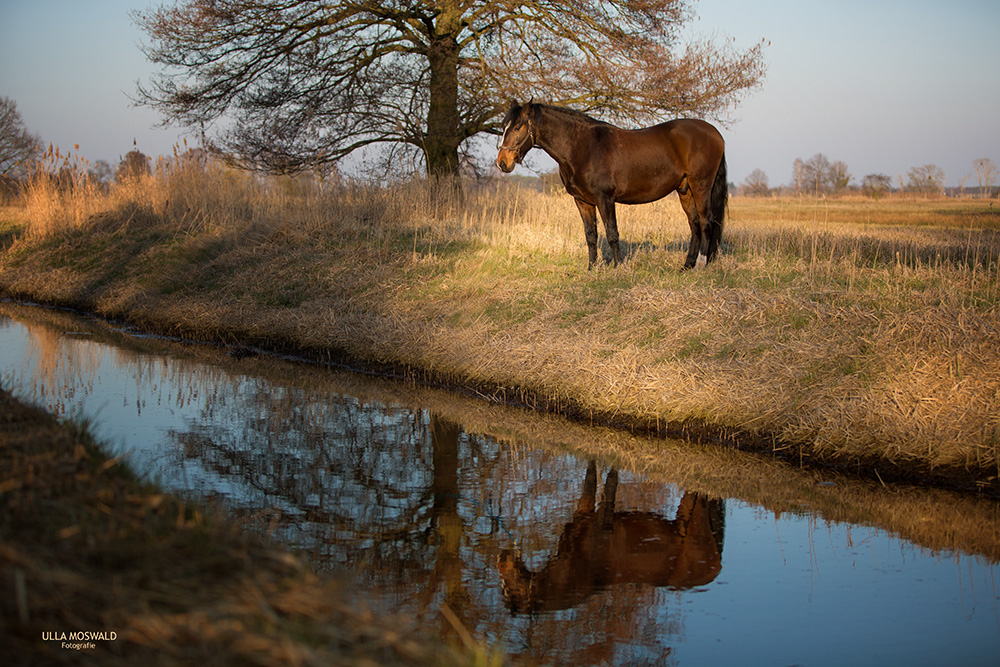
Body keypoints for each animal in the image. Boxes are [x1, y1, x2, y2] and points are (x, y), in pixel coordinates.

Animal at [498, 98, 728, 268]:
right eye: (504, 127)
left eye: (517, 127)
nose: (502, 162)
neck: (583, 146)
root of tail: (715, 133)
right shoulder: (583, 201)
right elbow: (591, 235)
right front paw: (591, 268)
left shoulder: (605, 198)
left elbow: (612, 233)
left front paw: (618, 267)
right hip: (685, 190)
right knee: (694, 224)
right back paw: (686, 266)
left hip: (701, 186)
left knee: (706, 221)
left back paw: (700, 265)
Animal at [498, 464, 728, 616]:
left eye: (513, 592)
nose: (501, 558)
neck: (579, 568)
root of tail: (714, 566)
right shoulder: (584, 509)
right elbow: (591, 478)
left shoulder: (603, 520)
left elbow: (610, 483)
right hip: (684, 516)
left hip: (698, 524)